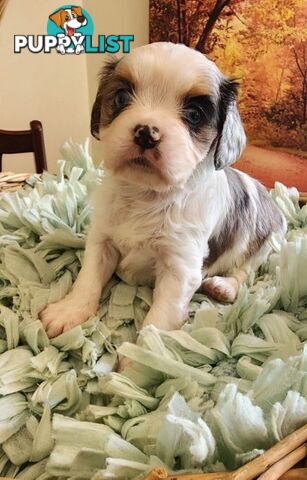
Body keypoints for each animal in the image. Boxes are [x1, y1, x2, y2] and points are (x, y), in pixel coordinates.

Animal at [40, 43, 286, 340]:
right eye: (121, 98)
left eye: (194, 114)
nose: (147, 132)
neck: (147, 194)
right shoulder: (101, 240)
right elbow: (88, 278)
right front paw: (70, 310)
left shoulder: (179, 269)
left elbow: (158, 320)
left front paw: (142, 352)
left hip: (265, 243)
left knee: (244, 271)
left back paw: (224, 286)